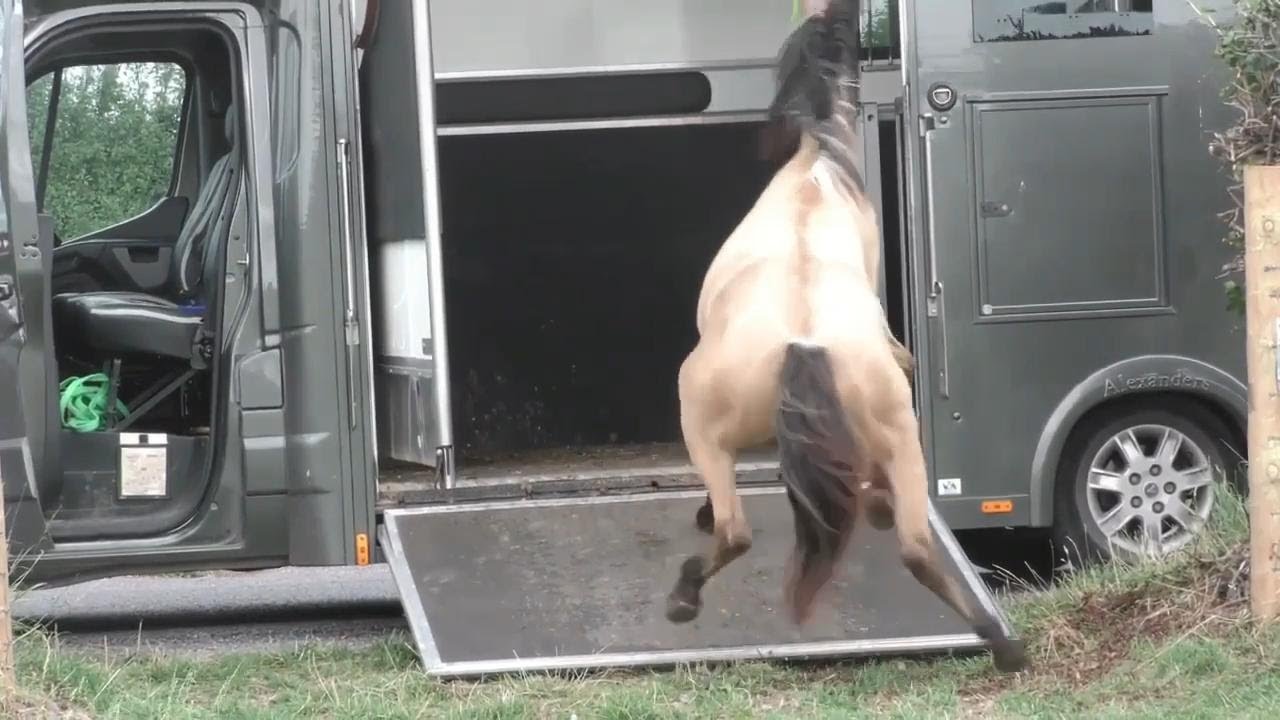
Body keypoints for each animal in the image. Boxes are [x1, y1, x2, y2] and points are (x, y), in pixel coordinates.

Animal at [662, 0, 1026, 674]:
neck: (819, 166)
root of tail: (804, 344)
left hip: (701, 418)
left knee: (735, 530)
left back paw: (683, 597)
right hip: (899, 434)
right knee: (916, 545)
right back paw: (1001, 640)